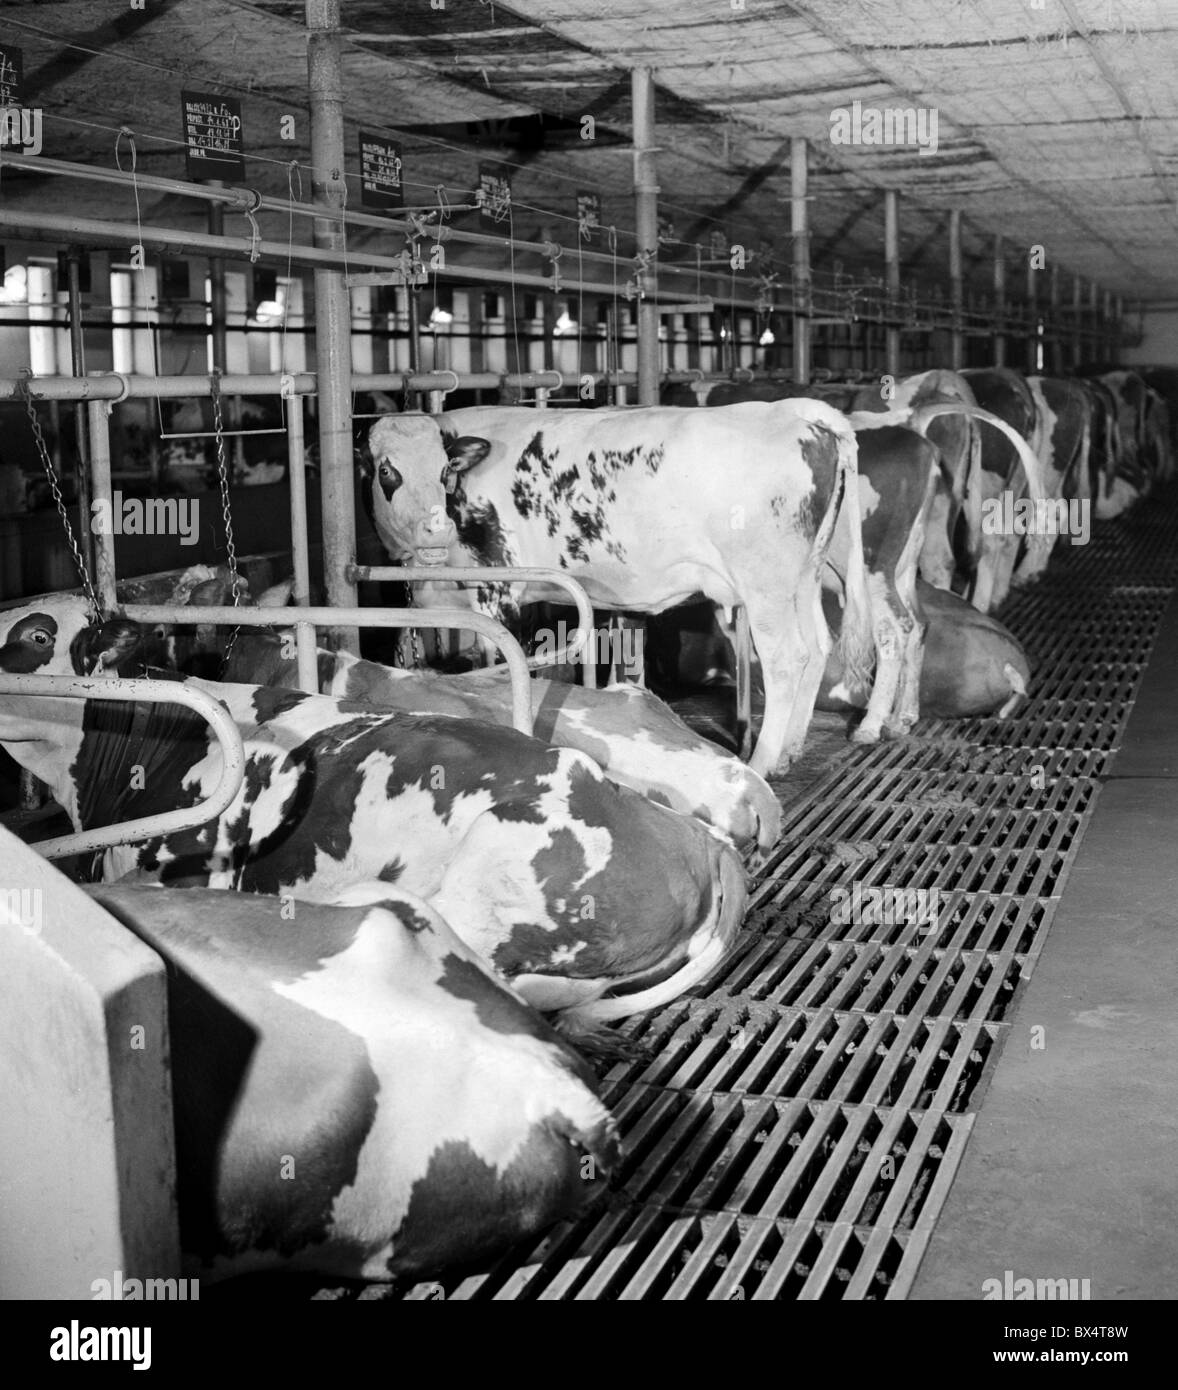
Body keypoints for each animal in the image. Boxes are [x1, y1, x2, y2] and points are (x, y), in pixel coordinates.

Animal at [361, 400, 873, 783]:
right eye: (386, 471)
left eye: (444, 469)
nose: (434, 528)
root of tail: (795, 415)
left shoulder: (496, 586)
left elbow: (503, 662)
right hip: (804, 576)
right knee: (819, 643)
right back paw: (789, 750)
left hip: (765, 583)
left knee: (787, 658)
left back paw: (764, 762)